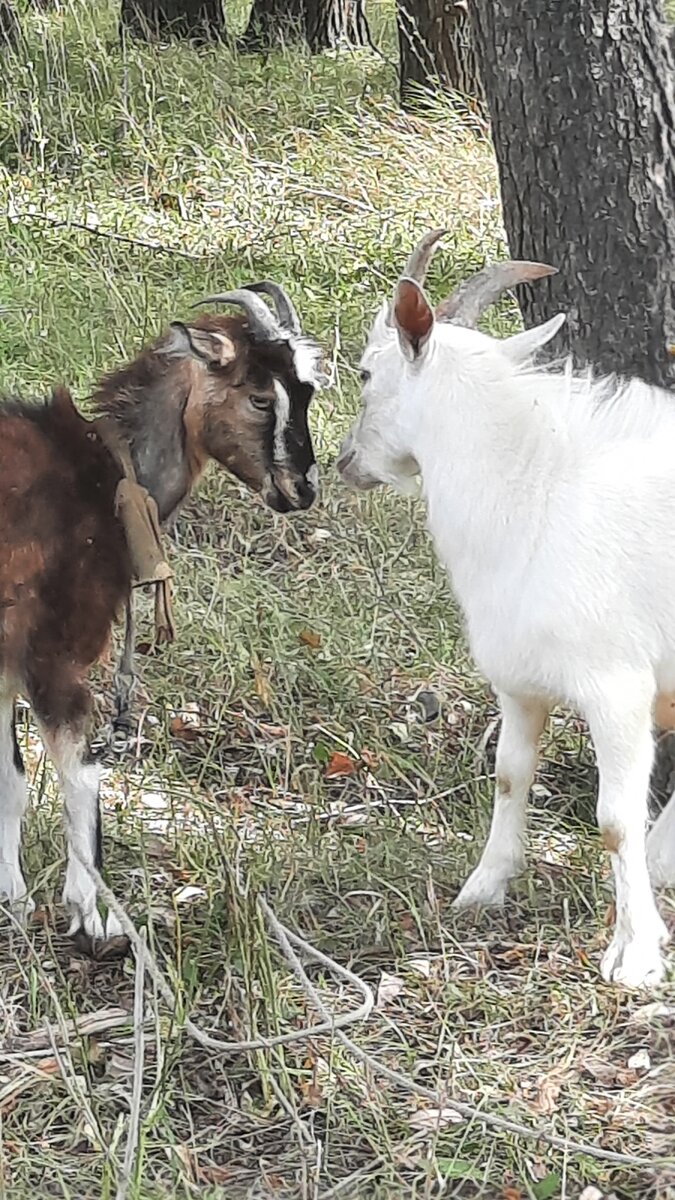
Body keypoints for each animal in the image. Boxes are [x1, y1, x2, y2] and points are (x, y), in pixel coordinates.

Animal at [0, 280, 319, 945]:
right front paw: (91, 916)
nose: (302, 488)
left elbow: (9, 780)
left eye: (307, 393)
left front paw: (12, 899)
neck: (108, 479)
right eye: (259, 397)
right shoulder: (54, 658)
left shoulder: (7, 665)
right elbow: (81, 779)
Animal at [338, 229, 667, 988]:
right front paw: (481, 891)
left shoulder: (617, 687)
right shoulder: (519, 685)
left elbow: (615, 818)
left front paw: (633, 953)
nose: (342, 461)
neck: (536, 497)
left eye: (365, 374)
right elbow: (509, 775)